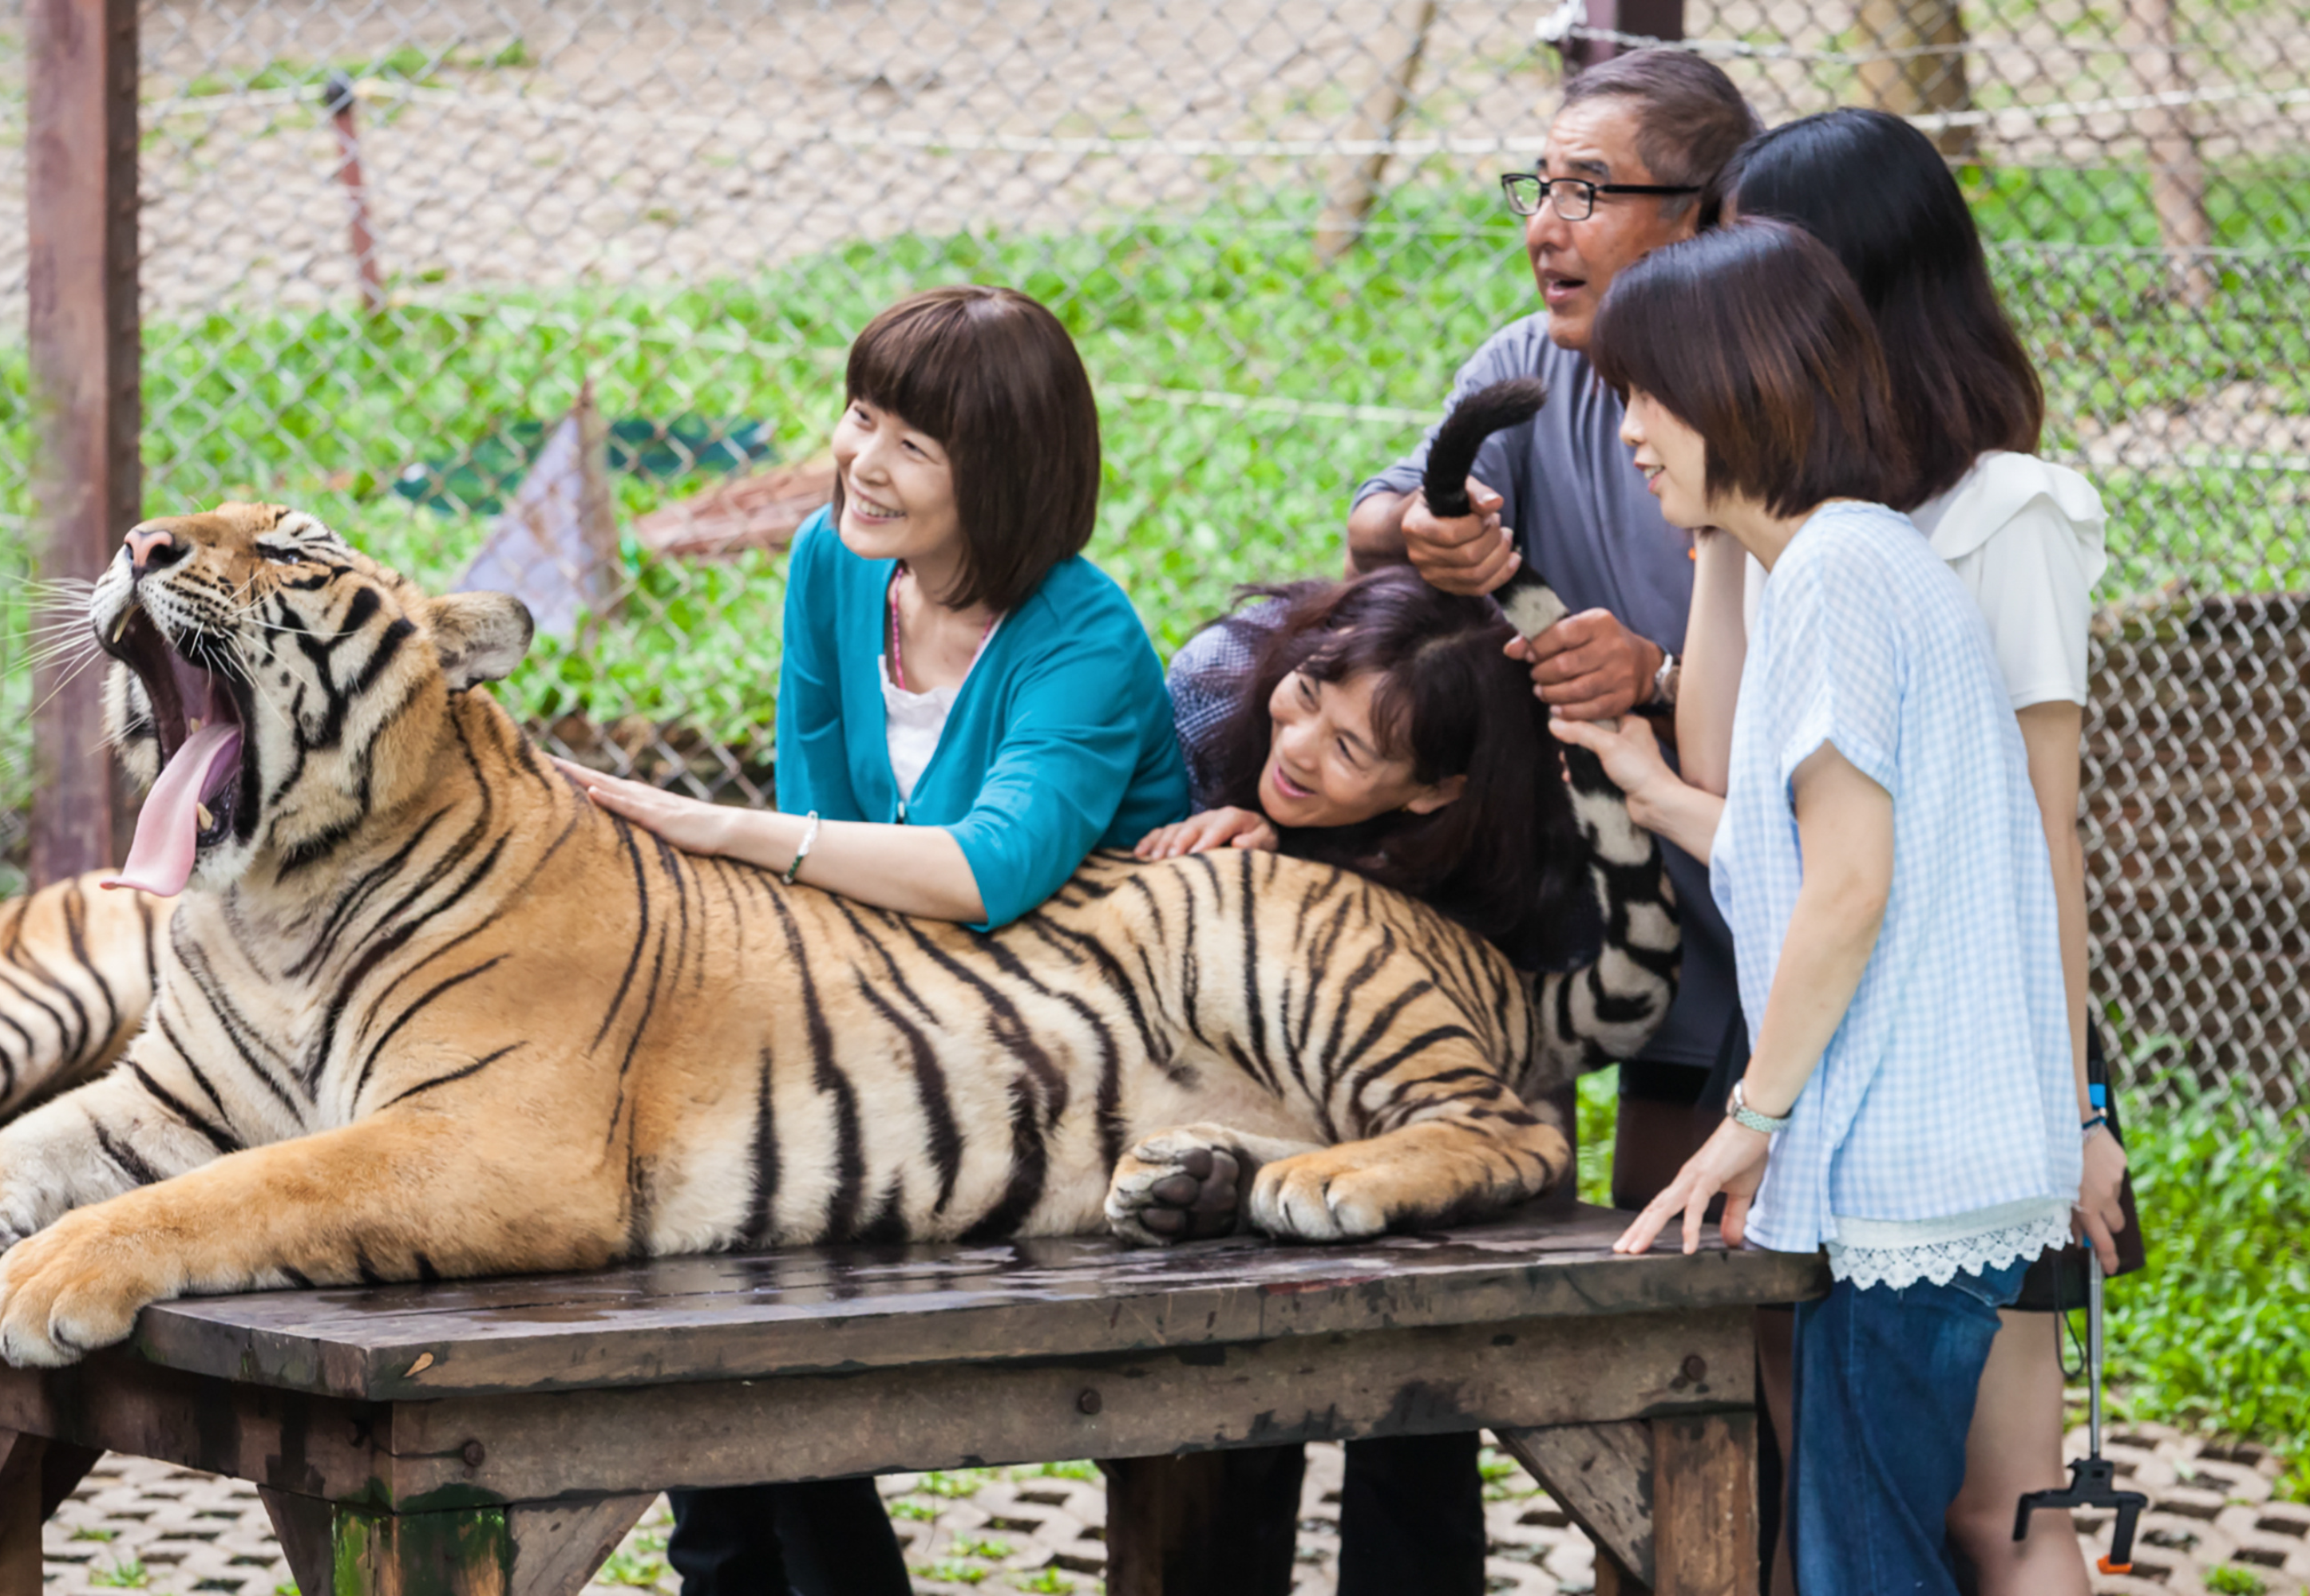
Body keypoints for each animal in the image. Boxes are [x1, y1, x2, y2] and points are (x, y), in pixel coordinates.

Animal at [0, 505, 1681, 1367]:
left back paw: (1325, 1185)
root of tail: (1476, 949)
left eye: (289, 553)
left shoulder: (482, 1133)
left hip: (1291, 959)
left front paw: (50, 1281)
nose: (143, 544)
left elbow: (247, 1189)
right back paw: (1187, 1179)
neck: (267, 900)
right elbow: (57, 1151)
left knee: (1515, 1135)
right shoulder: (159, 1104)